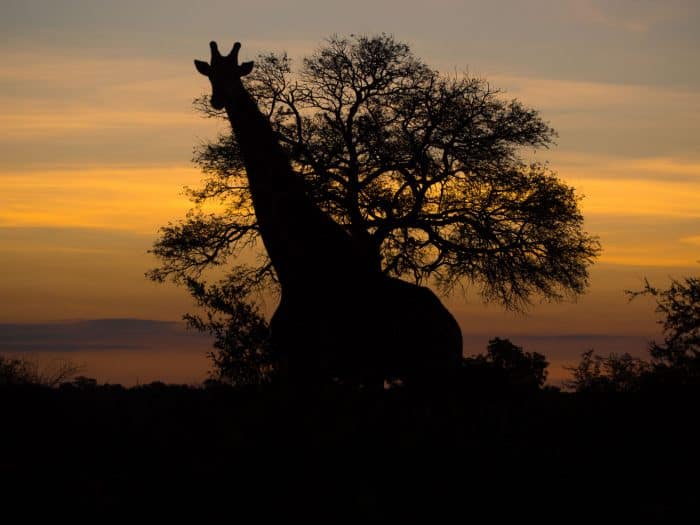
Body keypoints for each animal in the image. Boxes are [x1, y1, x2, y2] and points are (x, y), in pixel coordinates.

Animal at [194, 42, 462, 388]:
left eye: (235, 73)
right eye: (211, 74)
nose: (219, 99)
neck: (294, 267)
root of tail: (455, 331)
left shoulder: (311, 365)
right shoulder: (299, 365)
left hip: (433, 372)